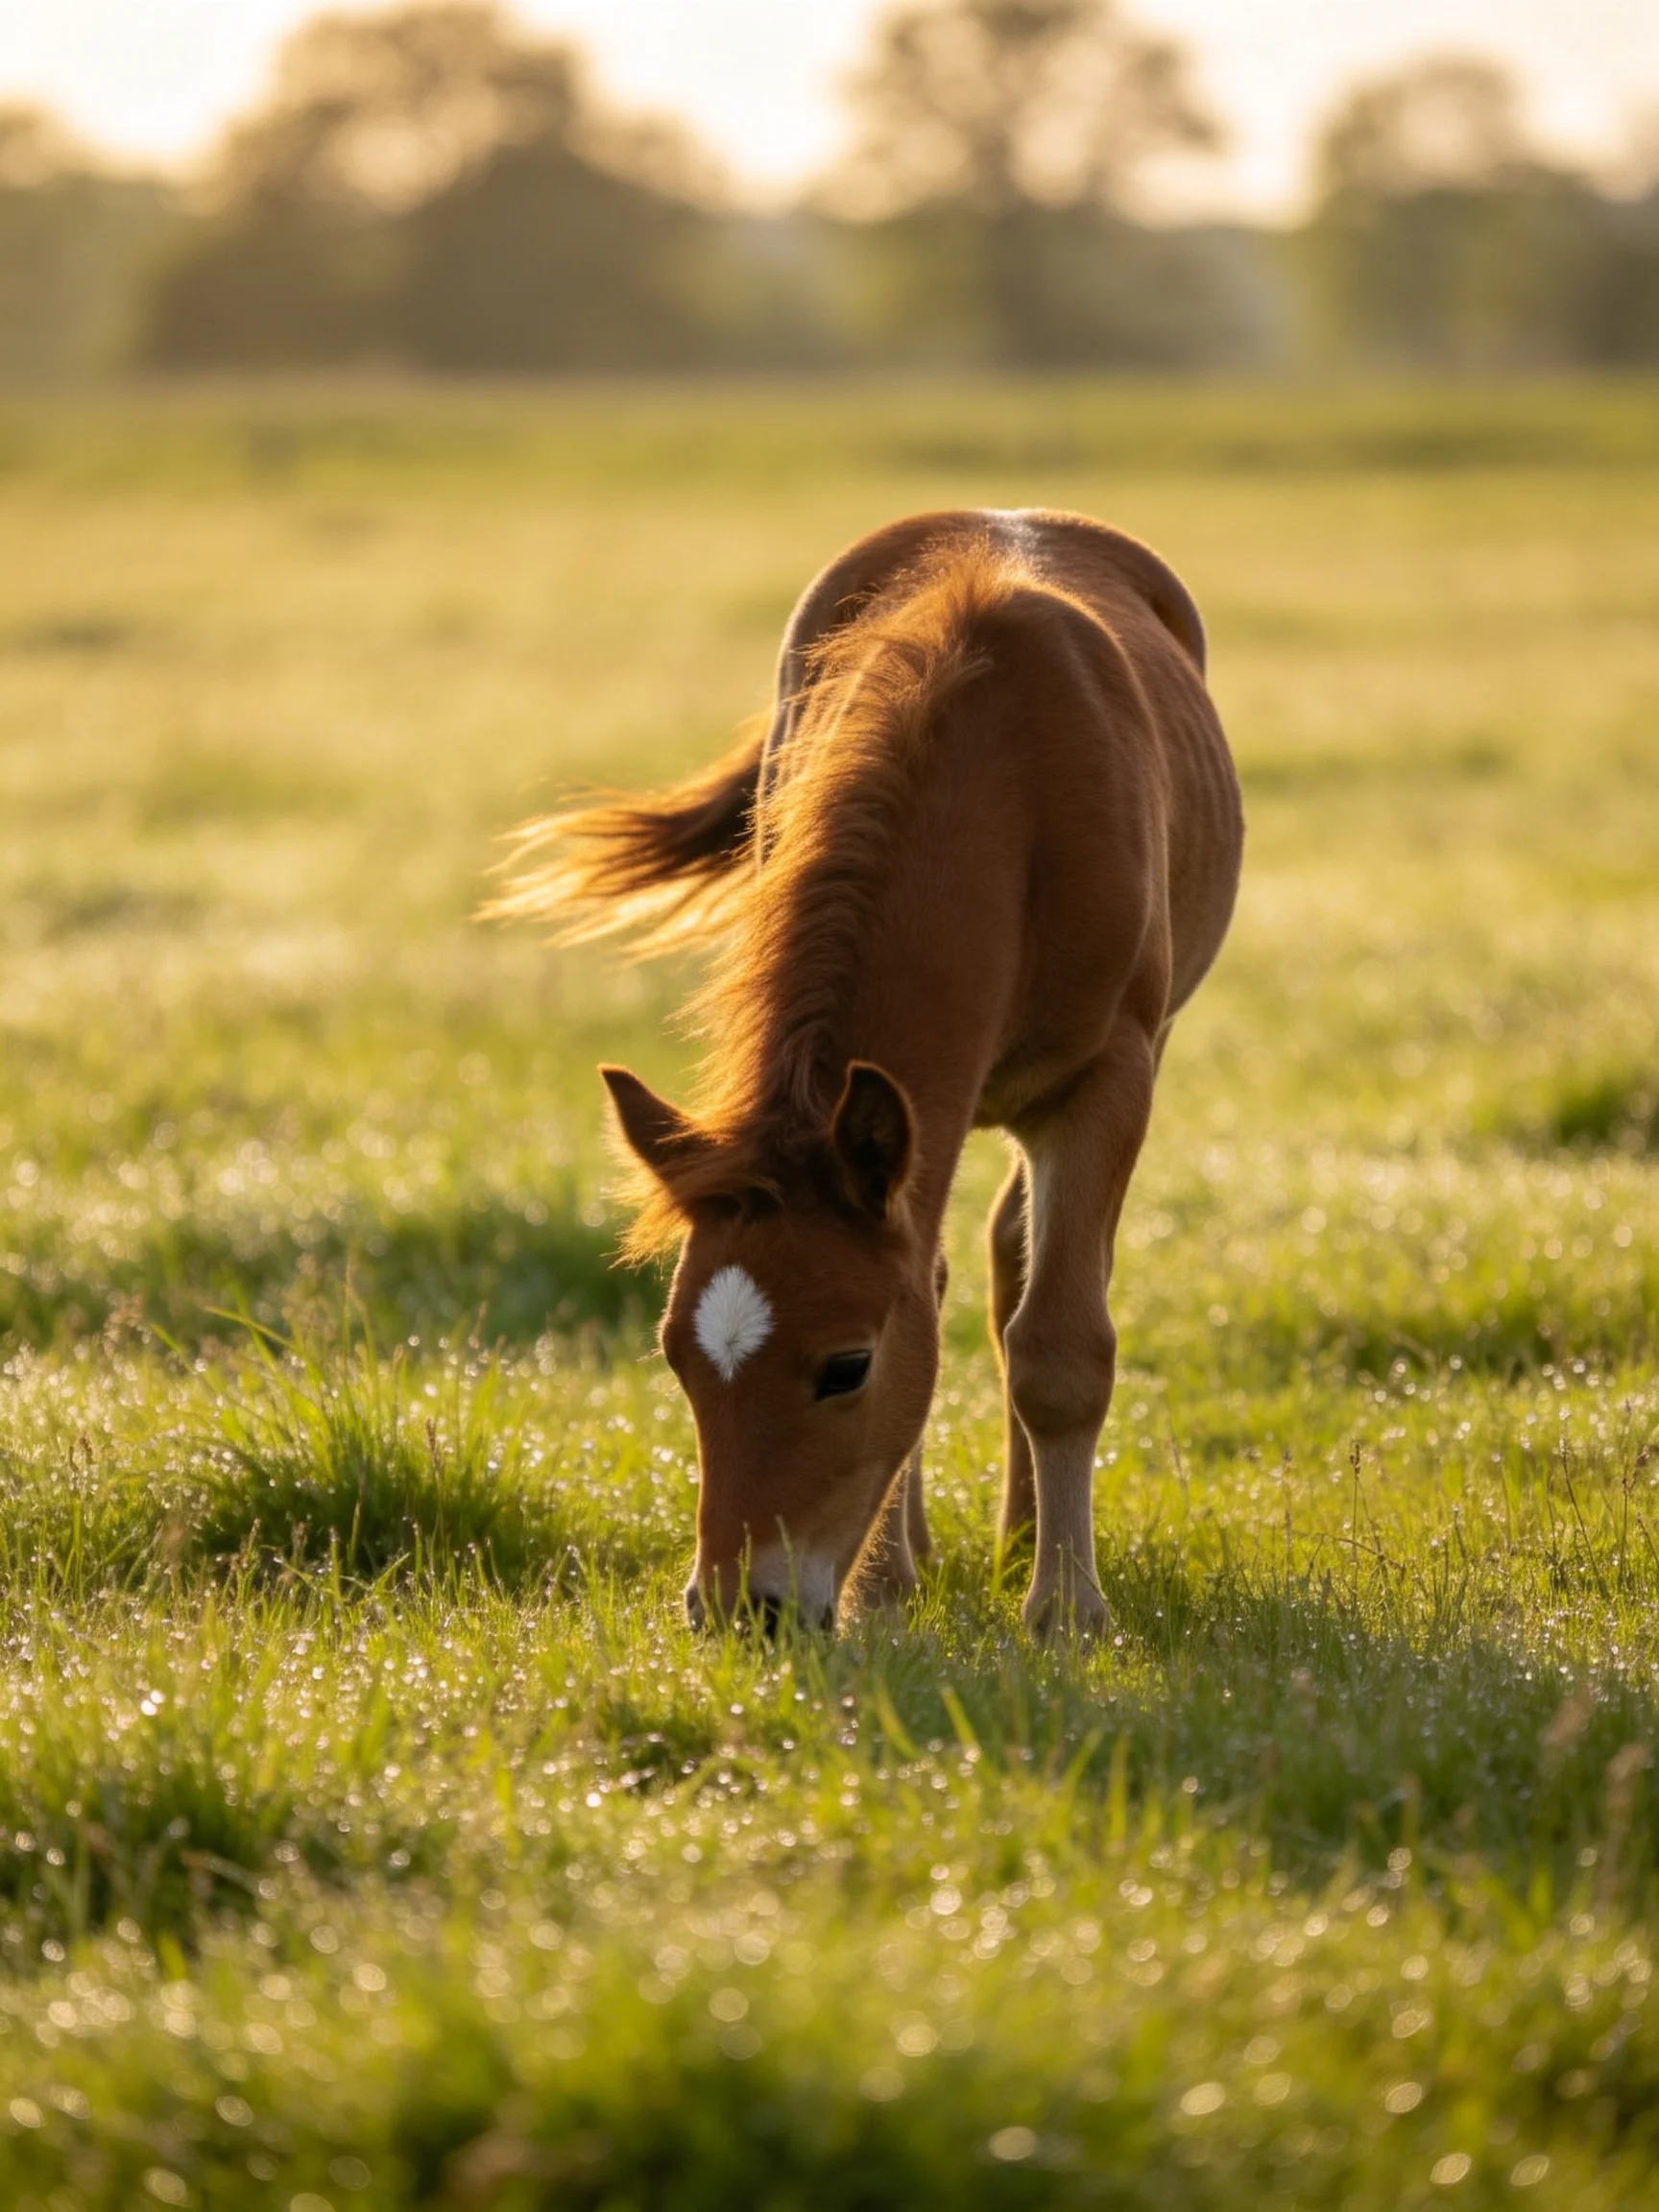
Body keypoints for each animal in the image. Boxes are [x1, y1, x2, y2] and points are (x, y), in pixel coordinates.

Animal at [491, 509, 1242, 1635]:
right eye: (675, 1355)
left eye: (845, 1367)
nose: (739, 1606)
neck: (1015, 792)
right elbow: (930, 1297)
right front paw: (886, 1587)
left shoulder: (1109, 1079)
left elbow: (1061, 1345)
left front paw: (1066, 1610)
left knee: (1022, 1261)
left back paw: (1023, 1544)